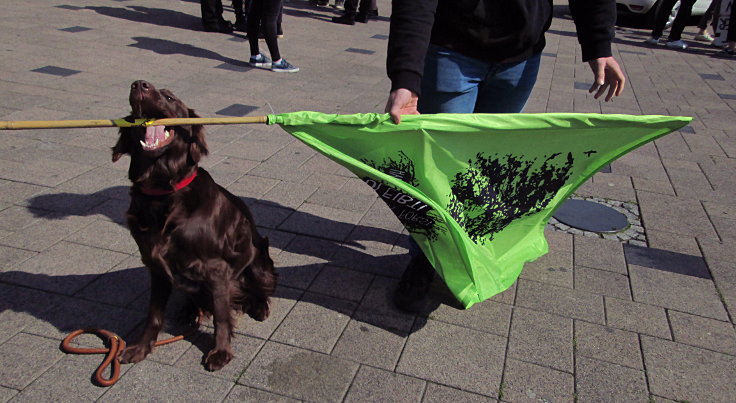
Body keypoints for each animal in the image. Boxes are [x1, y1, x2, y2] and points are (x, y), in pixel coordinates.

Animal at [112, 81, 276, 372]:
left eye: (169, 98)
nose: (138, 84)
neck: (163, 194)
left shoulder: (216, 269)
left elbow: (221, 316)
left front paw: (220, 352)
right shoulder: (156, 265)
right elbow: (153, 315)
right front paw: (142, 347)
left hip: (258, 261)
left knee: (258, 289)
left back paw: (259, 306)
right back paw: (190, 311)